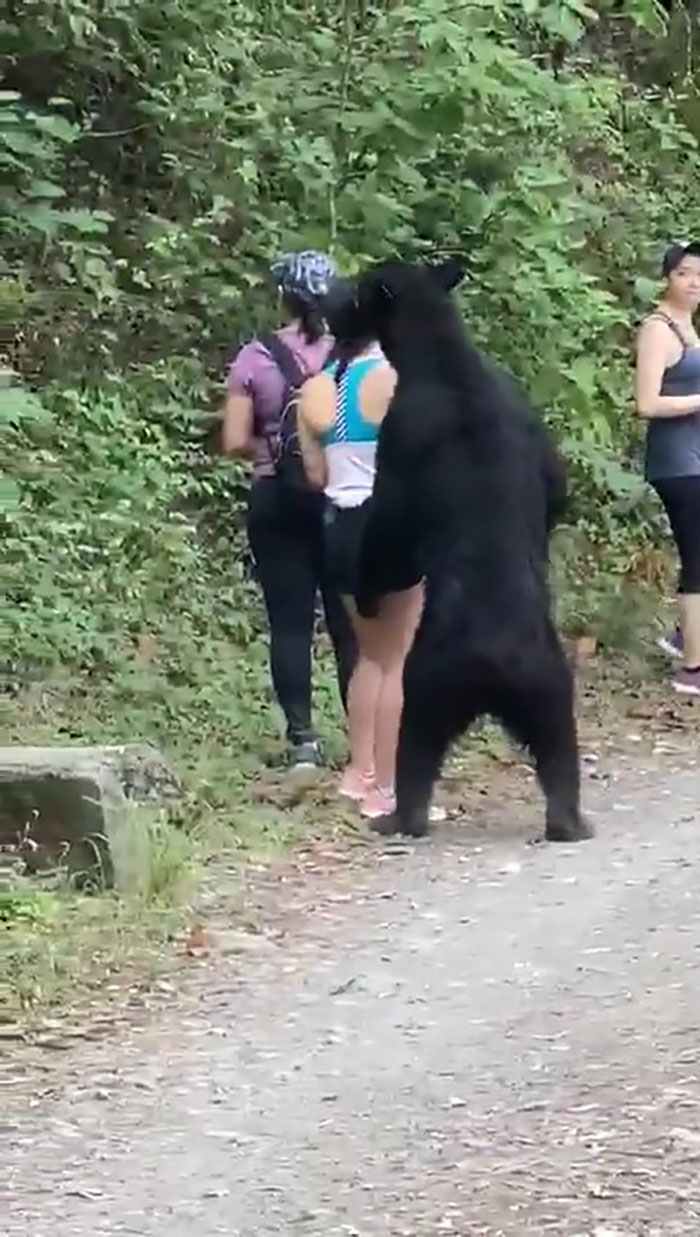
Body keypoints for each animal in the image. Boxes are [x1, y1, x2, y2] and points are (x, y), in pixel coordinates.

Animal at [351, 257, 592, 844]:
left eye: (366, 288)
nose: (346, 297)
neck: (443, 358)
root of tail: (495, 667)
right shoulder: (525, 411)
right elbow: (556, 487)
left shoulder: (402, 430)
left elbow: (390, 529)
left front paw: (367, 589)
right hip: (549, 681)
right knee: (560, 746)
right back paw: (569, 819)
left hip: (429, 678)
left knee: (415, 745)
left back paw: (400, 817)